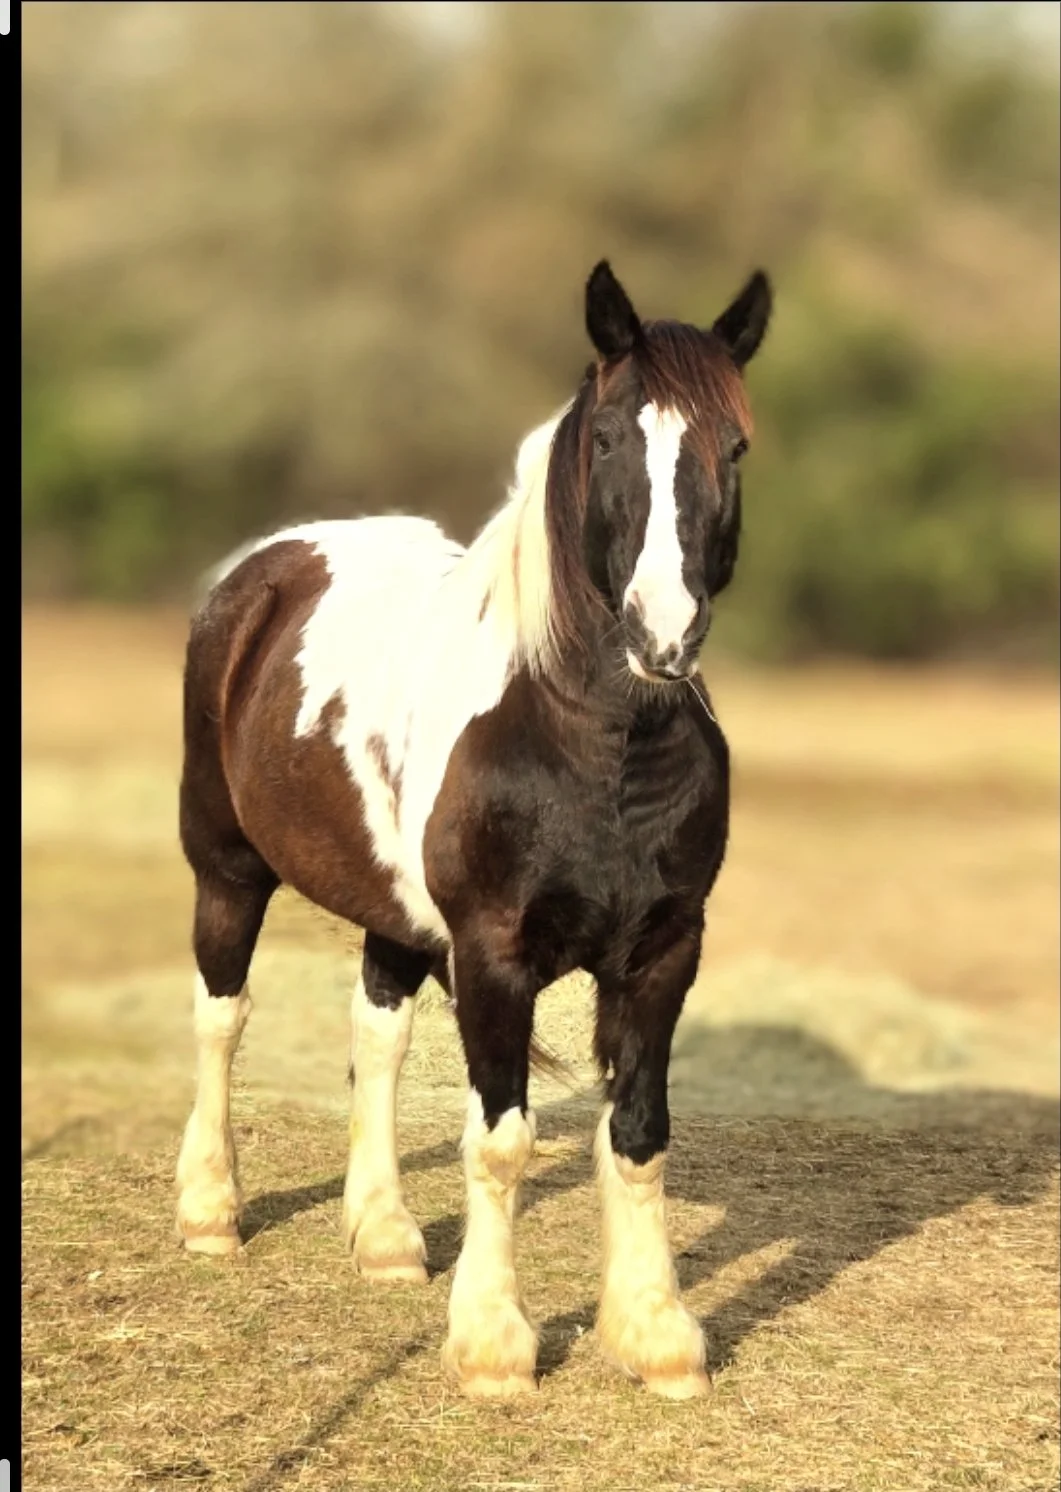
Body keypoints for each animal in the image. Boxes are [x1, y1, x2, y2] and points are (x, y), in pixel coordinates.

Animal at [175, 259, 772, 1400]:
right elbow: (500, 1141)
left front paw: (657, 1338)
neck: (591, 743)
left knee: (377, 1034)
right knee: (221, 1018)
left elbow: (638, 1134)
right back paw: (209, 1212)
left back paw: (384, 1237)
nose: (664, 633)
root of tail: (266, 570)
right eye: (609, 437)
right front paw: (494, 1347)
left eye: (734, 444)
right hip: (225, 870)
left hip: (392, 913)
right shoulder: (493, 955)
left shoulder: (664, 951)